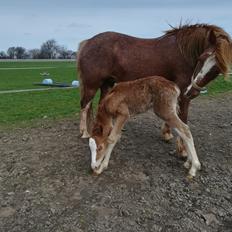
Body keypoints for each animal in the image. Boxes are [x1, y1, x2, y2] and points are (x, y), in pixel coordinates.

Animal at [78, 23, 232, 154]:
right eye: (201, 58)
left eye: (217, 68)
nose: (192, 93)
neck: (183, 52)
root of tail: (88, 42)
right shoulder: (182, 91)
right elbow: (183, 117)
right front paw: (182, 149)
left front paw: (167, 133)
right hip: (92, 85)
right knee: (85, 105)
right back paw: (84, 132)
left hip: (107, 84)